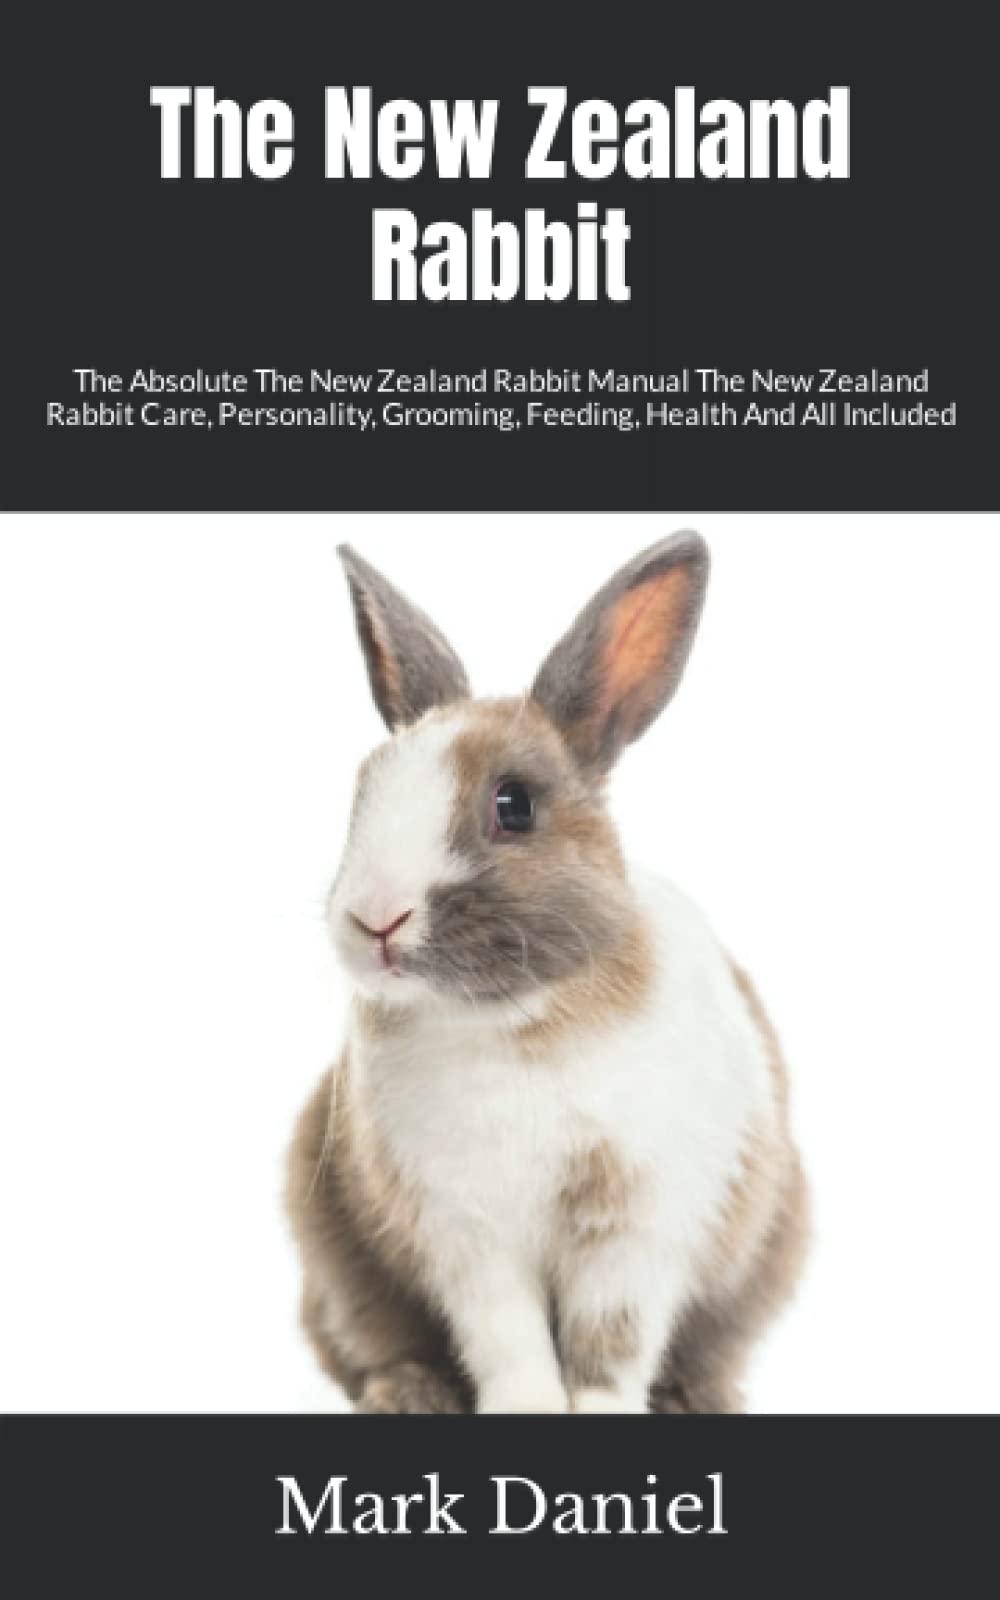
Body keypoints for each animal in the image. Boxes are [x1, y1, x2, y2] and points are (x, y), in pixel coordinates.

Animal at [286, 533, 809, 1414]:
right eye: (362, 795)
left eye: (515, 805)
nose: (375, 919)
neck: (510, 1019)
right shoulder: (465, 1233)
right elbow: (509, 1339)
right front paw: (524, 1408)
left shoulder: (634, 1227)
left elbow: (610, 1343)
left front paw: (599, 1411)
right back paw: (410, 1394)